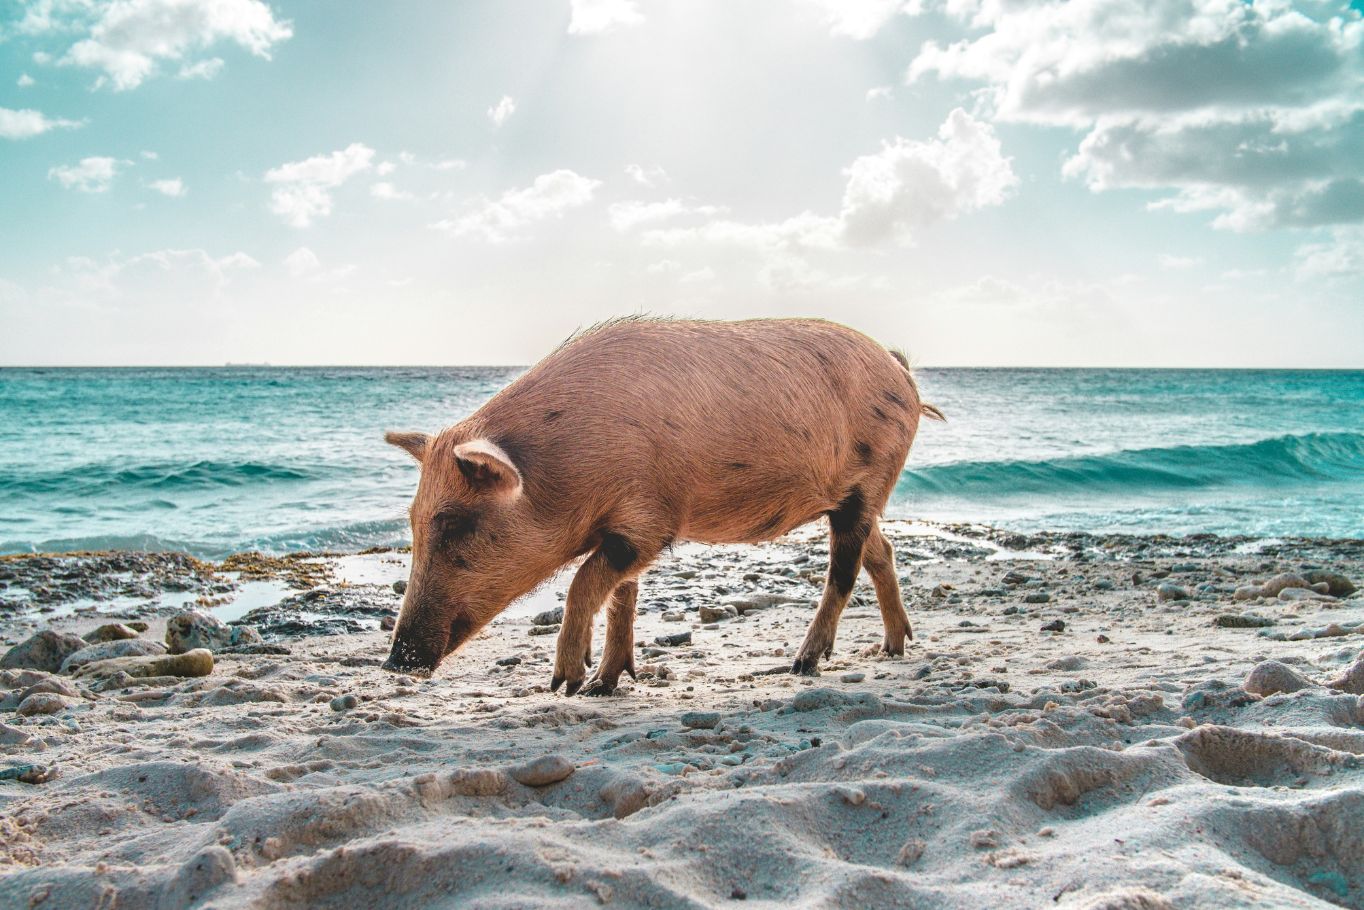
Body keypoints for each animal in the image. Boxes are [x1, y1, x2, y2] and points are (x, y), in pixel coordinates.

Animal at [383, 317, 943, 695]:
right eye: (412, 523)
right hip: (858, 497)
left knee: (843, 570)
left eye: (454, 523)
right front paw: (602, 686)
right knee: (881, 551)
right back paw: (893, 647)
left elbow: (585, 580)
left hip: (869, 479)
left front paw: (565, 683)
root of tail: (899, 368)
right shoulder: (625, 529)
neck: (565, 468)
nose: (395, 662)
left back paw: (804, 664)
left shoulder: (649, 520)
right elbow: (621, 594)